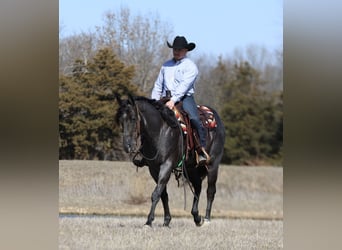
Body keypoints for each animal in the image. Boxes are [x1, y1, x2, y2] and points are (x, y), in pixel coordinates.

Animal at [116, 94, 226, 228]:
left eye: (133, 118)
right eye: (120, 120)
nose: (127, 146)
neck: (160, 131)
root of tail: (216, 117)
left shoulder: (166, 165)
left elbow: (156, 193)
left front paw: (148, 221)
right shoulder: (153, 169)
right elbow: (163, 194)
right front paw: (166, 221)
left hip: (213, 164)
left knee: (210, 191)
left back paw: (206, 220)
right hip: (191, 168)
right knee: (197, 186)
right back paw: (196, 217)